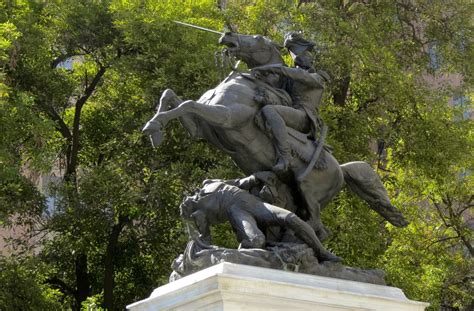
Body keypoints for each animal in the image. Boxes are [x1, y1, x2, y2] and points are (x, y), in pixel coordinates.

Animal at [142, 32, 408, 239]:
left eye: (259, 38)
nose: (228, 35)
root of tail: (341, 169)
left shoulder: (226, 116)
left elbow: (187, 104)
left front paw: (154, 128)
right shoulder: (199, 127)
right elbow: (172, 96)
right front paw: (154, 130)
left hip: (309, 191)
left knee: (317, 227)